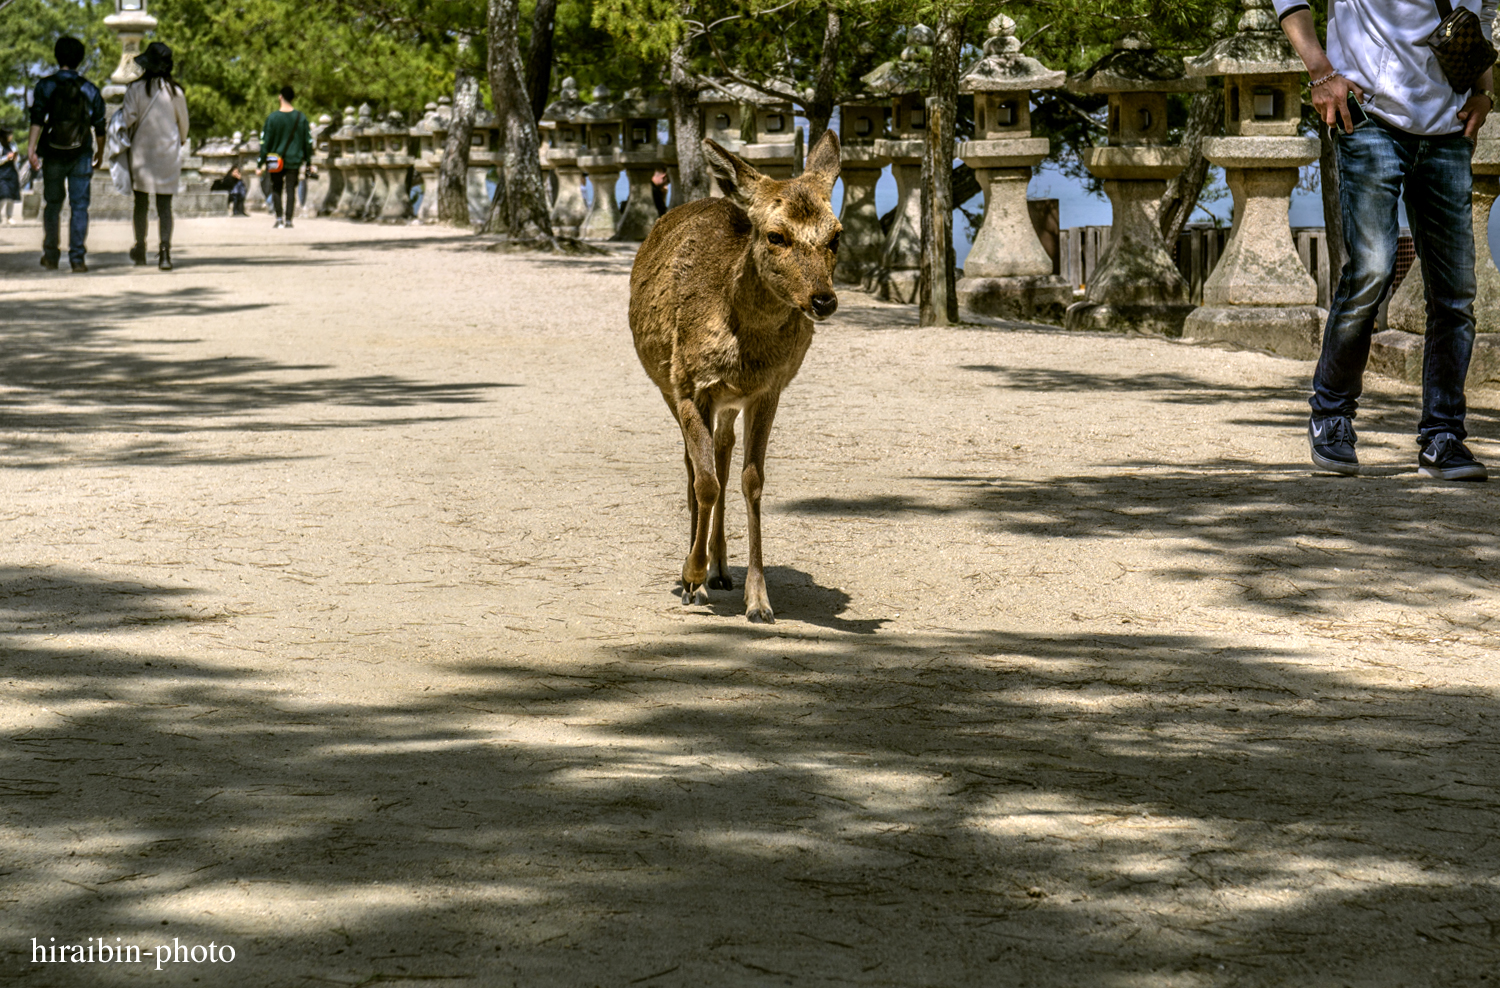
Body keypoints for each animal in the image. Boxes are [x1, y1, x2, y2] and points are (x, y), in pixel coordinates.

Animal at [627, 131, 846, 623]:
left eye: (836, 236)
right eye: (776, 235)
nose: (823, 300)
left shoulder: (768, 390)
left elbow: (751, 480)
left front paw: (759, 601)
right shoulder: (689, 385)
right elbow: (703, 480)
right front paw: (690, 575)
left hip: (728, 403)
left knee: (723, 454)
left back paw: (722, 568)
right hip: (669, 386)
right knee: (695, 464)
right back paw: (700, 575)